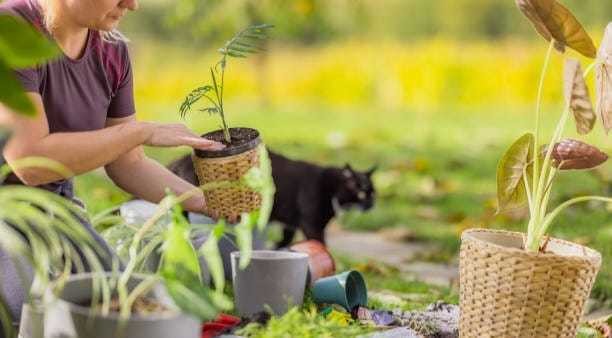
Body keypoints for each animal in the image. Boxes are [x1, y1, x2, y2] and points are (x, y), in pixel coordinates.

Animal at [169, 152, 378, 247]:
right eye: (361, 193)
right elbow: (320, 244)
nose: (370, 204)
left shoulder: (290, 225)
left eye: (373, 194)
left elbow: (284, 242)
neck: (332, 187)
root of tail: (178, 160)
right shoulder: (311, 225)